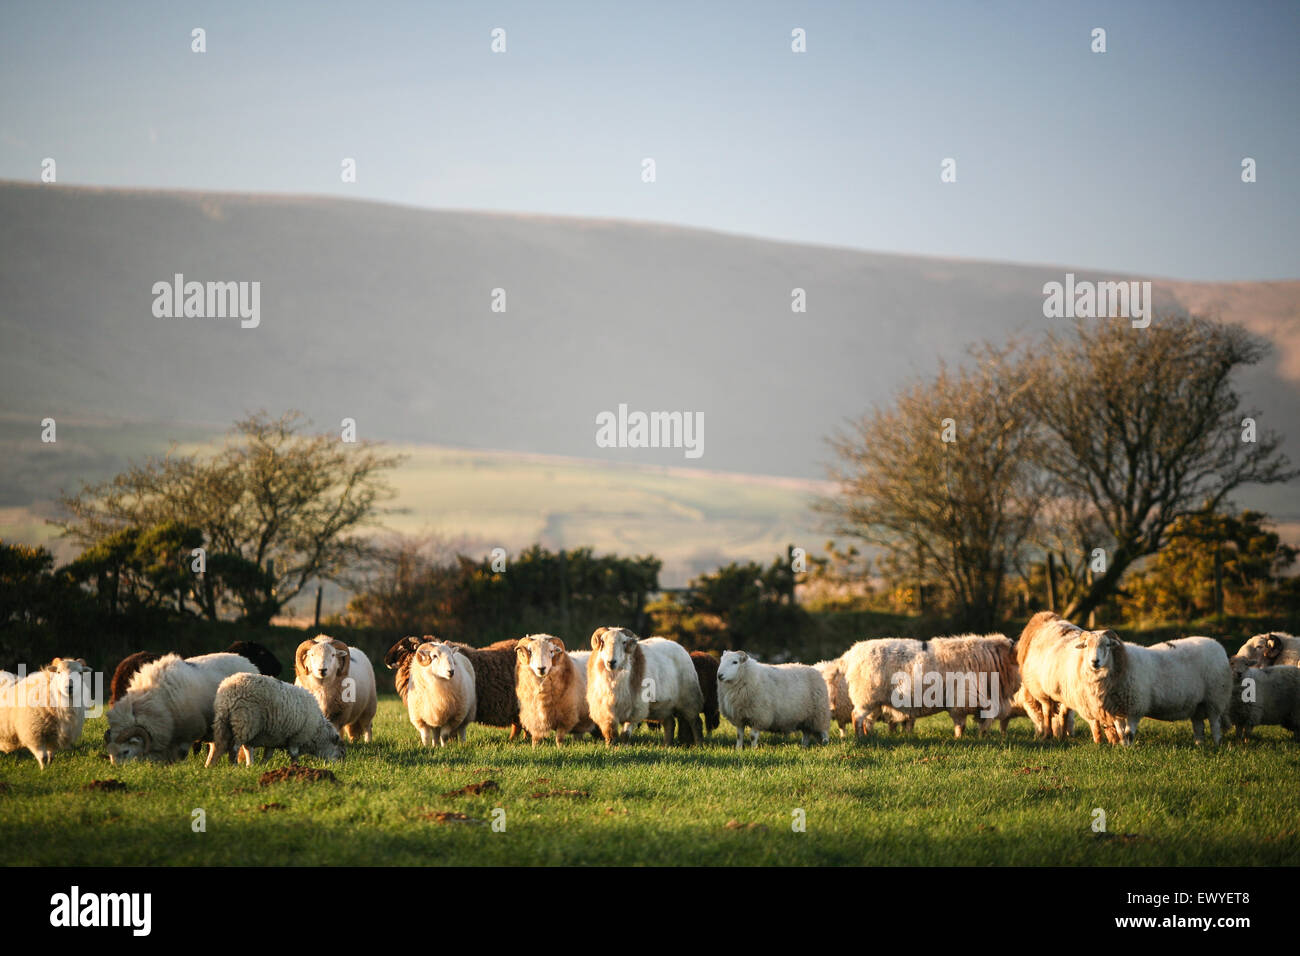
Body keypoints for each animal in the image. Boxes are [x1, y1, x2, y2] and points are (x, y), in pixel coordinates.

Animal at [106, 650, 256, 764]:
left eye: (126, 751)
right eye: (110, 753)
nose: (117, 770)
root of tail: (246, 661)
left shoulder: (187, 735)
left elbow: (181, 756)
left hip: (246, 718)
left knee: (247, 746)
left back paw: (248, 765)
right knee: (216, 746)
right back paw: (209, 765)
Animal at [202, 671, 345, 770]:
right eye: (341, 752)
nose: (339, 767)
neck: (318, 732)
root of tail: (228, 695)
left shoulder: (273, 738)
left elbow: (267, 755)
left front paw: (261, 766)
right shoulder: (297, 737)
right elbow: (294, 755)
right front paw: (296, 767)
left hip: (224, 722)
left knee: (219, 746)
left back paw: (211, 765)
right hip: (244, 723)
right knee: (234, 748)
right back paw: (234, 766)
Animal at [842, 634, 1024, 738]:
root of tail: (853, 652)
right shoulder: (962, 701)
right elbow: (963, 725)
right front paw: (960, 739)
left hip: (874, 701)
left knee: (867, 721)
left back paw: (868, 737)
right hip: (866, 697)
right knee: (856, 717)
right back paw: (860, 739)